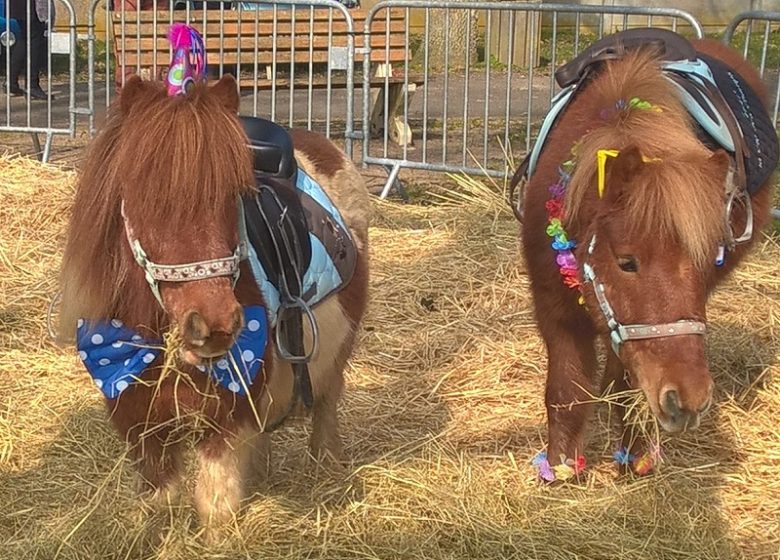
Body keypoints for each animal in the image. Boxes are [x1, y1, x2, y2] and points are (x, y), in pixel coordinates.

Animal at [58, 74, 368, 540]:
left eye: (234, 196)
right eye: (144, 196)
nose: (214, 324)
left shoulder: (224, 423)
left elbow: (215, 509)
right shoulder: (138, 423)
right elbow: (159, 503)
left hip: (337, 350)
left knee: (328, 401)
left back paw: (326, 464)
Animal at [520, 38, 776, 476]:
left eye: (707, 260)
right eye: (627, 261)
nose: (689, 400)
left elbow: (629, 385)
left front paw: (635, 455)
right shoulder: (553, 309)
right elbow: (566, 390)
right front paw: (561, 468)